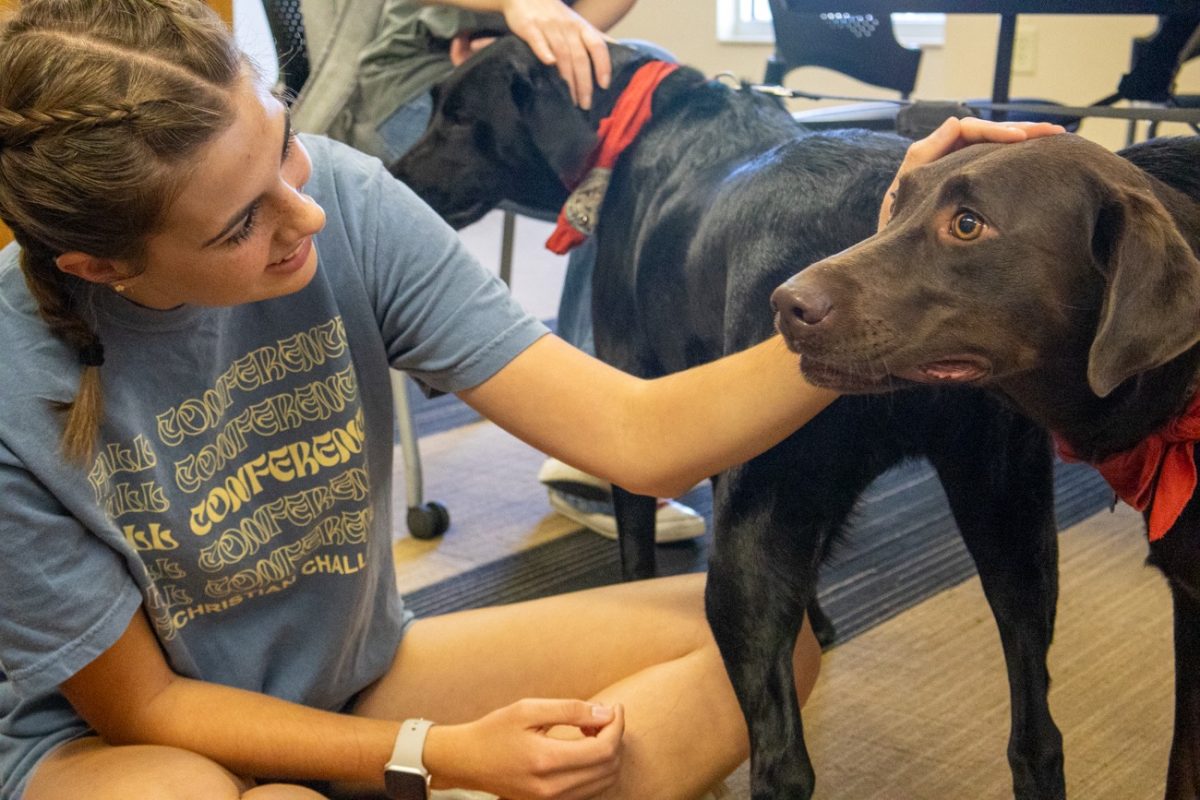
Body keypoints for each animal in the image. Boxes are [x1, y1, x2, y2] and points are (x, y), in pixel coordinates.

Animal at [398, 38, 1065, 800]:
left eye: (457, 115)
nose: (394, 172)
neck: (634, 114)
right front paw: (819, 624)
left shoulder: (647, 408)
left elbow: (637, 556)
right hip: (1014, 527)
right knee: (1037, 743)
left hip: (743, 561)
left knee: (782, 765)